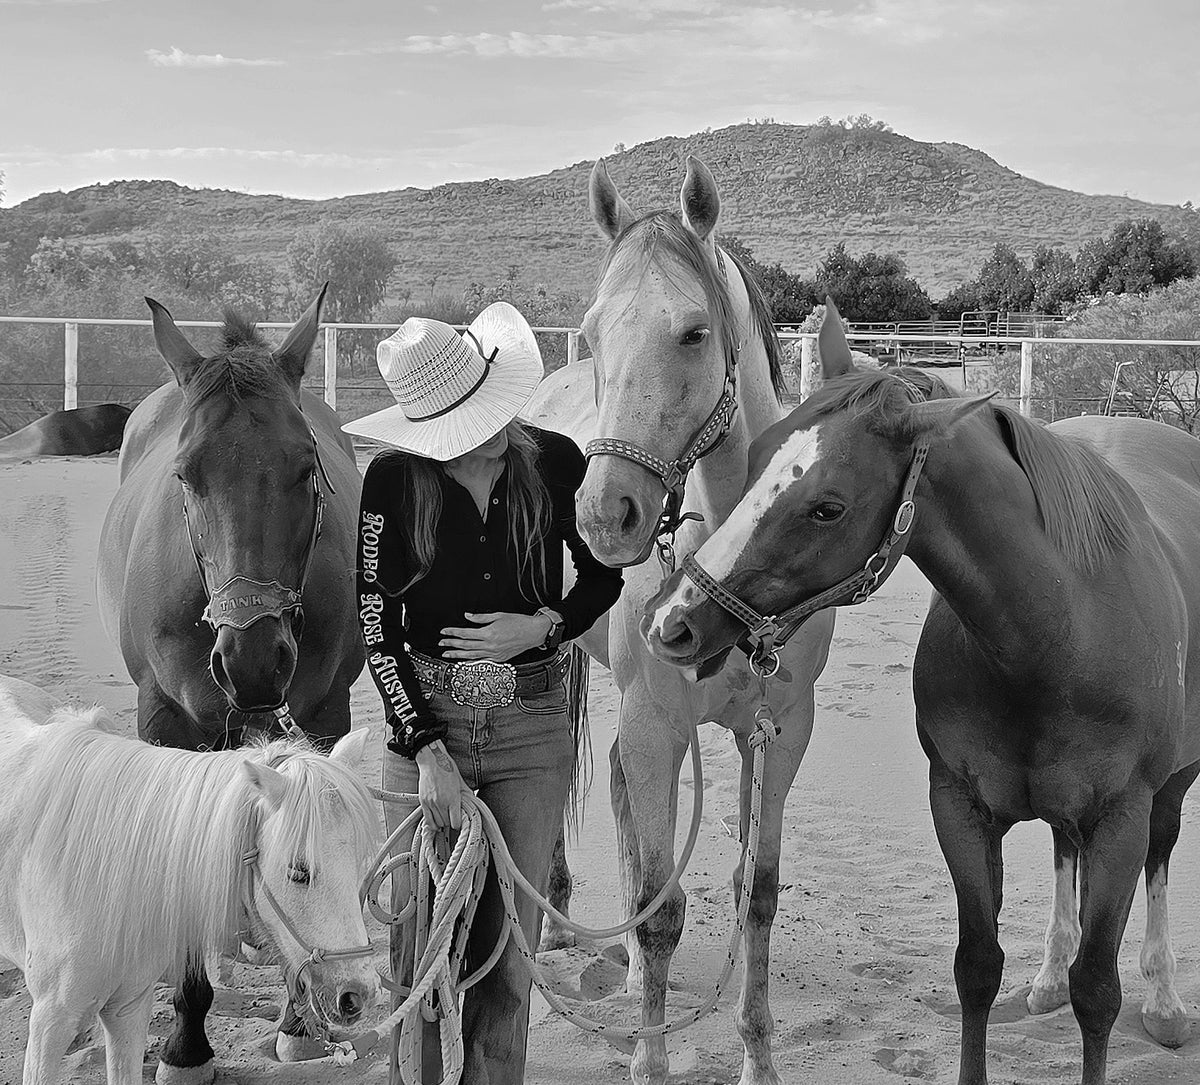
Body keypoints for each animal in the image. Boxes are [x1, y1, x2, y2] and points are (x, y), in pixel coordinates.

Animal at [96, 289, 367, 1079]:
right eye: (186, 474)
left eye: (307, 467)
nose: (252, 658)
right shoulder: (169, 724)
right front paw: (187, 1042)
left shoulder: (324, 715)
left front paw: (301, 1022)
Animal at [532, 156, 836, 1085]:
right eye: (593, 333)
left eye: (694, 333)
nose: (606, 513)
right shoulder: (655, 720)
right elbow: (660, 904)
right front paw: (648, 1060)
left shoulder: (780, 728)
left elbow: (755, 894)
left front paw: (758, 1058)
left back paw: (629, 967)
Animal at [643, 310, 1200, 1085]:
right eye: (753, 459)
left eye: (828, 507)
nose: (674, 621)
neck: (1058, 629)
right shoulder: (958, 807)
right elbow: (977, 968)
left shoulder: (1122, 819)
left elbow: (1098, 989)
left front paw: (1117, 992)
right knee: (1064, 848)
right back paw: (1047, 977)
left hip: (1170, 788)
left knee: (1161, 859)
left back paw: (1166, 1001)